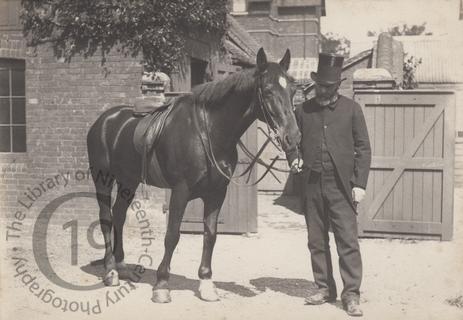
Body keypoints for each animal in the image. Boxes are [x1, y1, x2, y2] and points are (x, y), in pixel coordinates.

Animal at [87, 48, 302, 302]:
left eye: (292, 90)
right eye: (268, 90)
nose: (293, 137)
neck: (209, 132)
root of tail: (103, 121)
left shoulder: (216, 193)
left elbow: (210, 235)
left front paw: (206, 284)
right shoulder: (180, 191)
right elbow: (172, 235)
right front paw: (162, 284)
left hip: (128, 180)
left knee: (119, 214)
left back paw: (121, 266)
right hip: (103, 179)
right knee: (106, 218)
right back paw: (111, 271)